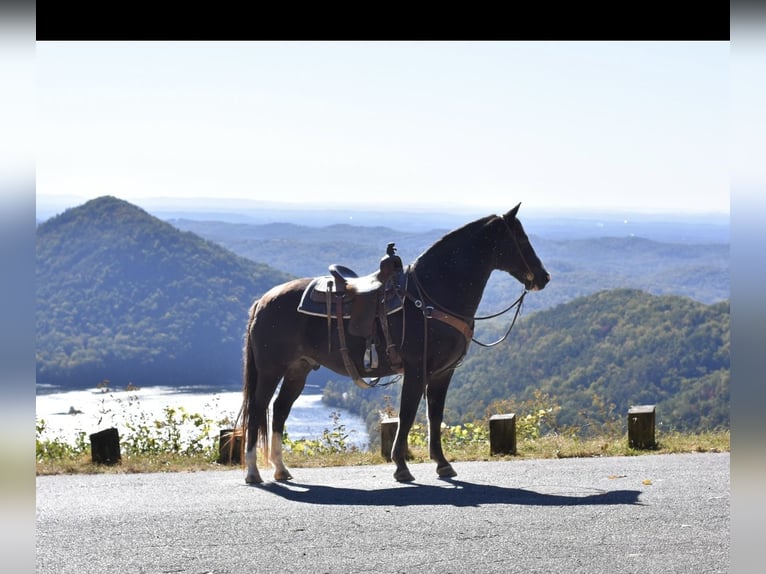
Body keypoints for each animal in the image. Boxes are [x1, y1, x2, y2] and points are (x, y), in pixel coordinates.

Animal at [237, 203, 550, 483]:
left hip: (297, 370)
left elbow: (434, 416)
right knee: (257, 411)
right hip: (271, 370)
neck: (430, 296)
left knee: (279, 410)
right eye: (520, 238)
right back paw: (253, 472)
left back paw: (280, 469)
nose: (544, 277)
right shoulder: (416, 370)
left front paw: (442, 464)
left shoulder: (442, 373)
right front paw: (401, 466)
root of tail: (262, 301)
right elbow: (407, 414)